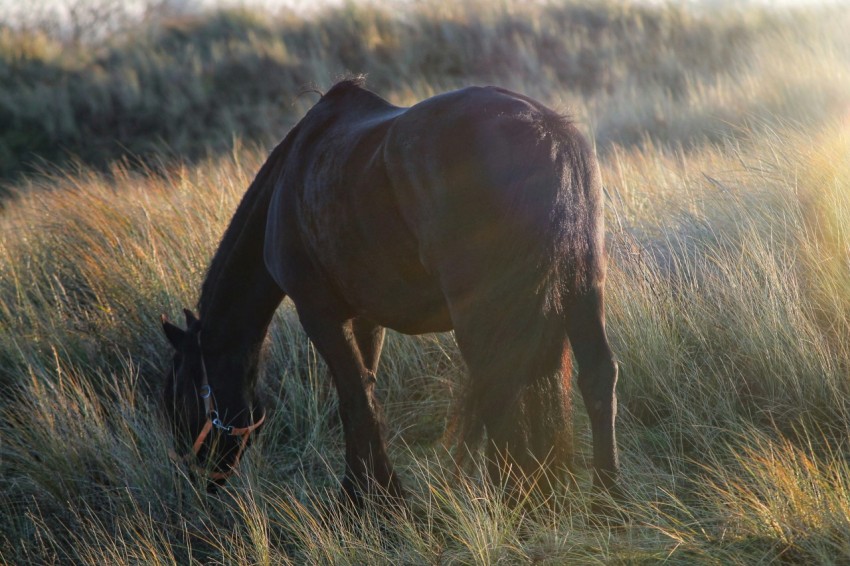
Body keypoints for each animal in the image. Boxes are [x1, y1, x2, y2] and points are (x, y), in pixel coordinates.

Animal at [162, 78, 619, 507]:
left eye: (181, 393)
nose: (197, 475)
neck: (287, 187)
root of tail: (548, 131)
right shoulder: (367, 318)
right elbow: (367, 390)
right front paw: (370, 490)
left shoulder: (318, 314)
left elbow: (353, 401)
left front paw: (369, 500)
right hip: (581, 288)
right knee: (596, 376)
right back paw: (603, 501)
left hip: (484, 313)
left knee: (502, 390)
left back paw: (519, 499)